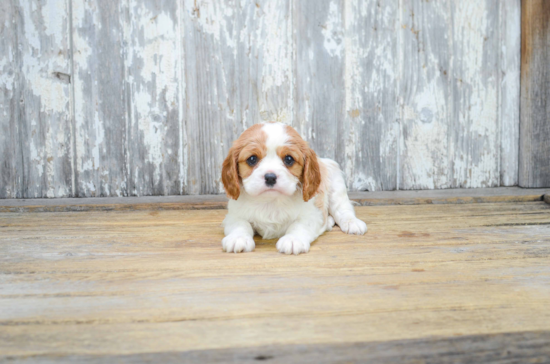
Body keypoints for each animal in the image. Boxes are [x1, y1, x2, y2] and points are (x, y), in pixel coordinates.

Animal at [222, 121, 368, 255]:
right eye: (252, 159)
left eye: (289, 159)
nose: (270, 177)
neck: (271, 201)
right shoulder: (234, 215)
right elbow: (241, 224)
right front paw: (238, 238)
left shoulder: (311, 215)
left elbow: (298, 225)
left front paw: (292, 240)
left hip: (336, 186)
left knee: (343, 208)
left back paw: (352, 223)